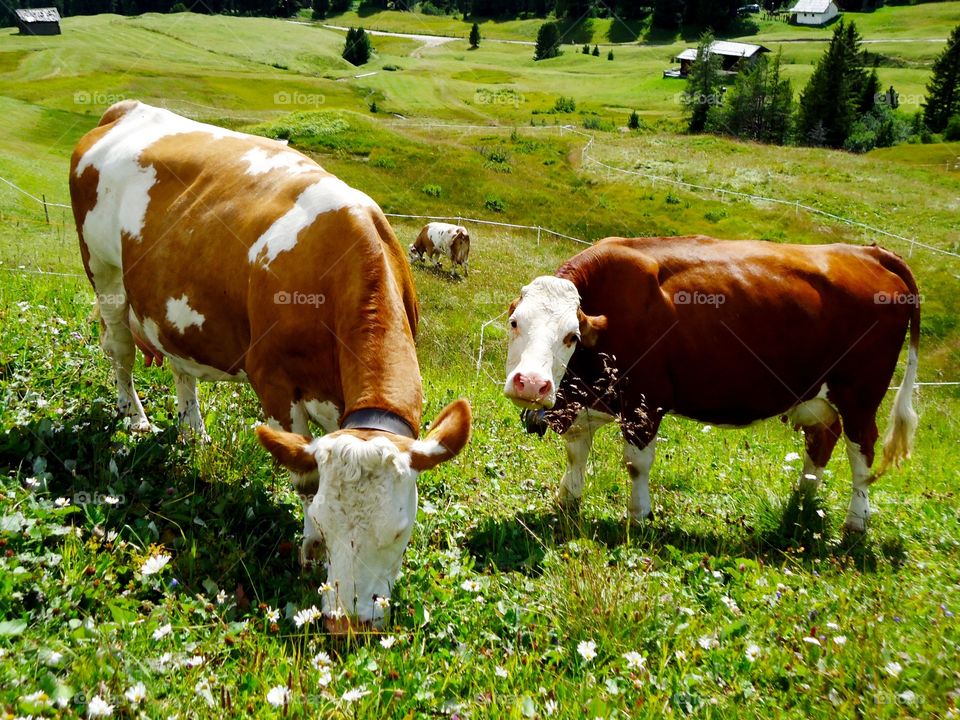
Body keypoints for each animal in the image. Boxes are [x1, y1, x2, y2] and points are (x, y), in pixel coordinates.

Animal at [69, 100, 470, 632]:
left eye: (401, 532)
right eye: (327, 522)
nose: (348, 622)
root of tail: (126, 108)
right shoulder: (274, 382)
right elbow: (304, 479)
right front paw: (308, 551)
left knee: (179, 367)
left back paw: (193, 432)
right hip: (106, 274)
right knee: (120, 351)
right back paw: (134, 417)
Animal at [502, 238, 916, 536]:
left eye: (571, 336)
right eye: (514, 322)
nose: (532, 384)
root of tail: (869, 252)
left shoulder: (646, 402)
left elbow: (636, 464)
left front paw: (638, 516)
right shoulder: (585, 400)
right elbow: (576, 453)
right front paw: (566, 501)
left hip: (860, 396)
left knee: (862, 452)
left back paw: (856, 522)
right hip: (819, 396)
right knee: (822, 440)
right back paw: (802, 500)